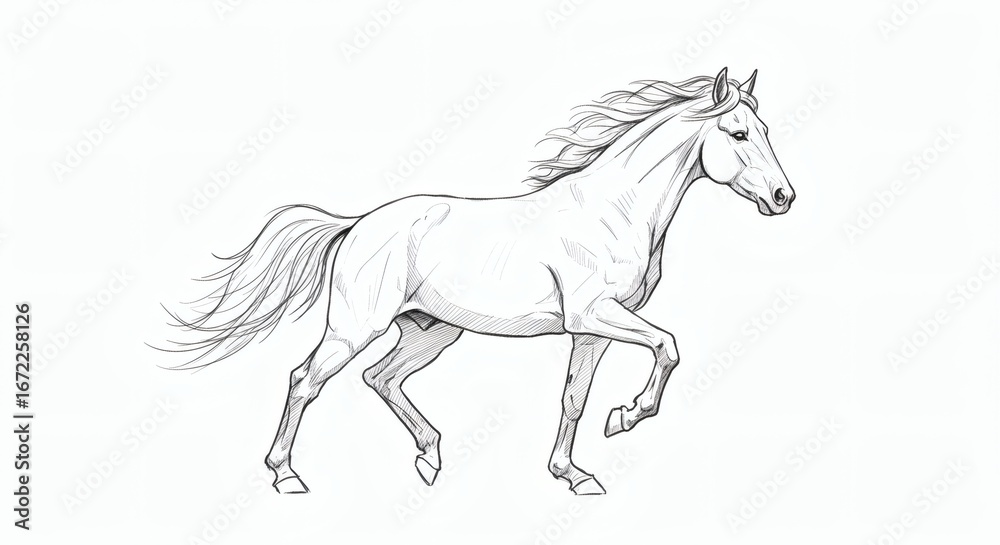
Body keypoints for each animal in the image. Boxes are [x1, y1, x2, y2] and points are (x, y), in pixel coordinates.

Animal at [162, 67, 795, 496]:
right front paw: (626, 417)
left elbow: (574, 398)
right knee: (305, 379)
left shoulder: (591, 331)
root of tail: (357, 224)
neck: (615, 210)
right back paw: (287, 475)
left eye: (765, 128)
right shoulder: (595, 315)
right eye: (739, 133)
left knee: (380, 377)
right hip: (356, 326)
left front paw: (574, 473)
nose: (783, 197)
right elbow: (668, 346)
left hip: (432, 331)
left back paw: (430, 458)